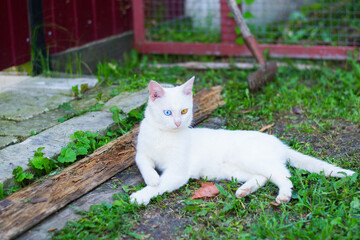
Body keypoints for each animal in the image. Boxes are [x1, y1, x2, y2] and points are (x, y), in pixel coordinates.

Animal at [129, 77, 354, 204]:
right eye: (167, 112)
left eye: (184, 111)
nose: (177, 122)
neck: (163, 134)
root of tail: (278, 142)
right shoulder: (141, 154)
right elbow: (144, 164)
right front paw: (152, 177)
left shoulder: (177, 172)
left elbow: (160, 185)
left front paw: (141, 194)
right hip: (236, 171)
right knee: (264, 177)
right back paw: (244, 190)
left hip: (251, 158)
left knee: (284, 174)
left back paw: (283, 196)